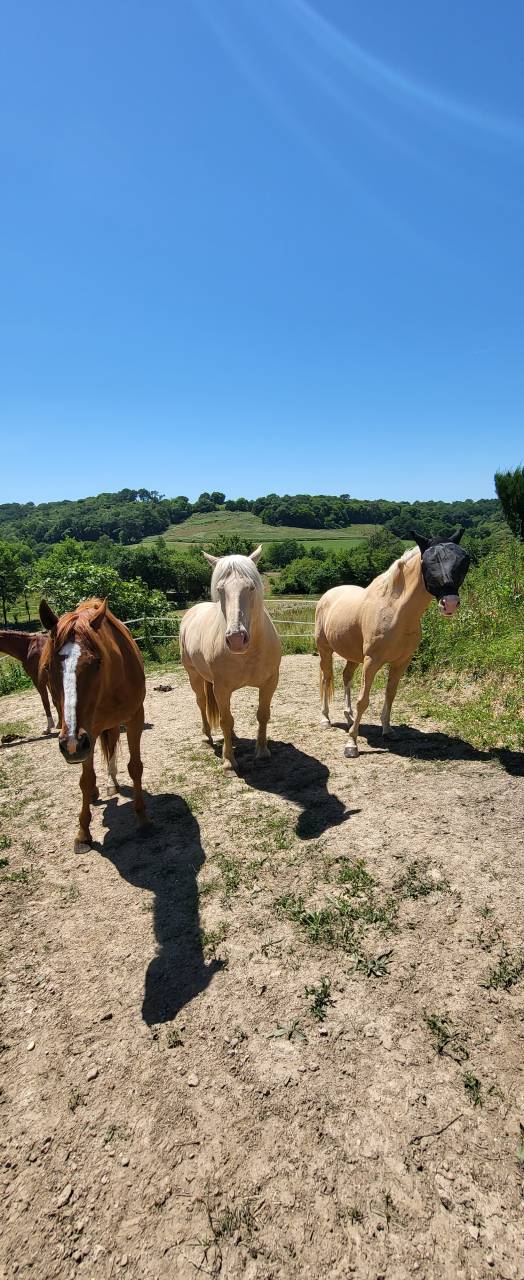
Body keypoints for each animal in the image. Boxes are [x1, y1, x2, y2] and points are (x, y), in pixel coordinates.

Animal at [39, 597, 147, 853]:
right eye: (48, 667)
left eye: (97, 663)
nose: (71, 746)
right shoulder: (86, 732)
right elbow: (85, 781)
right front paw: (83, 833)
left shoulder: (135, 718)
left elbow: (135, 767)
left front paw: (142, 817)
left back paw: (111, 783)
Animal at [180, 546, 282, 771]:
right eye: (220, 589)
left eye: (251, 587)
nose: (236, 639)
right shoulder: (221, 687)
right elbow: (225, 720)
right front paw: (228, 761)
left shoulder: (270, 683)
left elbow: (262, 714)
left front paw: (262, 752)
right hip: (194, 676)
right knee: (202, 702)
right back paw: (207, 737)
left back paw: (233, 737)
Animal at [315, 529, 471, 758]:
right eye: (428, 561)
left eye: (463, 559)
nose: (449, 604)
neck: (395, 611)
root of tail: (327, 596)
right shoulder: (371, 662)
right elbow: (364, 700)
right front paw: (351, 744)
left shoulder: (400, 662)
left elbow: (390, 694)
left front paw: (388, 730)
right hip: (325, 651)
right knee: (327, 679)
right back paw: (325, 719)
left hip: (353, 656)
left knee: (346, 677)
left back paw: (349, 716)